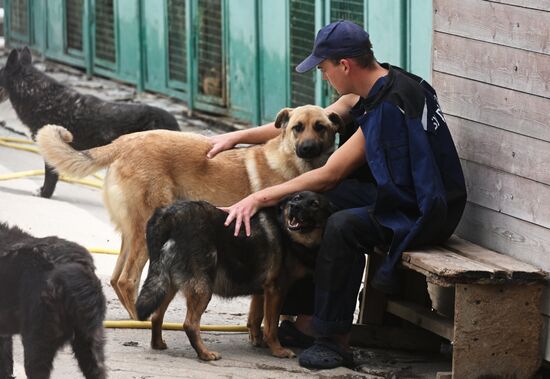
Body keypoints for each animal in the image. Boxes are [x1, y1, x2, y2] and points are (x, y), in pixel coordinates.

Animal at [36, 104, 342, 320]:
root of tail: (122, 142)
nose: (308, 148)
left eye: (320, 127)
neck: (292, 163)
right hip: (145, 232)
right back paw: (141, 320)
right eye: (297, 128)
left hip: (133, 233)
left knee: (114, 277)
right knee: (126, 280)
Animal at [137, 193, 336, 362]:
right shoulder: (276, 290)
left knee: (157, 315)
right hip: (203, 288)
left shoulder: (263, 292)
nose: (294, 207)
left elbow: (255, 319)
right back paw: (204, 353)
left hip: (169, 284)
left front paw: (258, 340)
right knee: (190, 324)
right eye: (296, 198)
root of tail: (167, 216)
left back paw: (158, 344)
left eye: (315, 204)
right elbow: (271, 326)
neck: (285, 230)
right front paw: (277, 350)